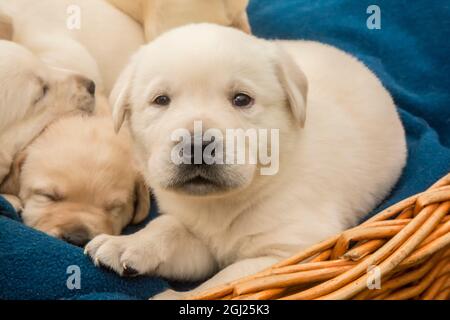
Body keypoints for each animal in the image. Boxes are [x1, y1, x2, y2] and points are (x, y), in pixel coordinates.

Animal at [85, 23, 408, 298]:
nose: (197, 145)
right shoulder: (197, 238)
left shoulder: (294, 252)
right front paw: (126, 244)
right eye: (161, 100)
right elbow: (168, 227)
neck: (222, 204)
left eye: (242, 99)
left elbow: (224, 282)